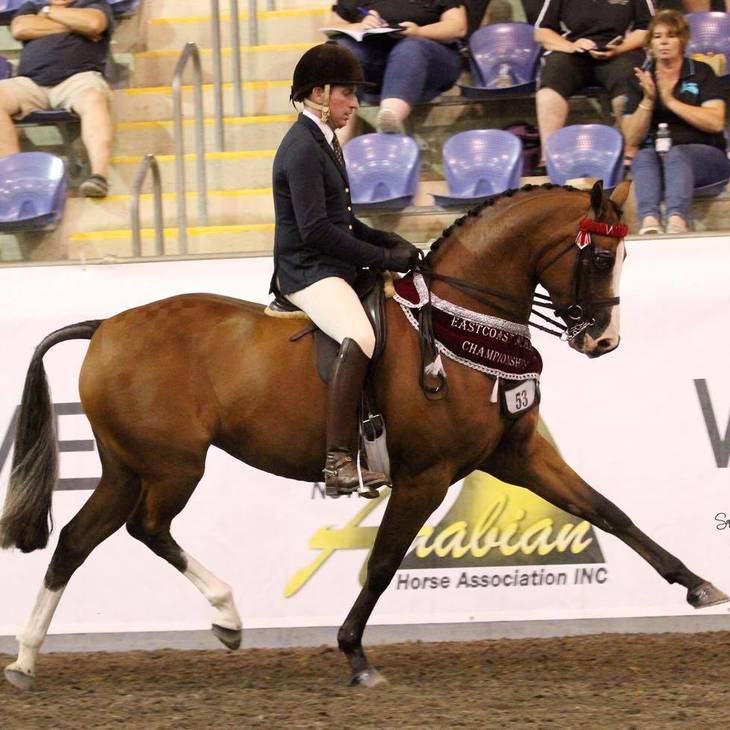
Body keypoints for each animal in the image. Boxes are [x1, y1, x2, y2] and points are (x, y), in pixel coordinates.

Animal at [1, 182, 726, 691]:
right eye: (601, 255)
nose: (603, 340)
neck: (463, 320)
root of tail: (105, 325)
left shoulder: (517, 454)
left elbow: (608, 510)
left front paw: (698, 586)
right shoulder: (426, 475)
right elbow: (381, 563)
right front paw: (355, 655)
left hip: (129, 467)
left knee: (76, 541)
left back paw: (27, 661)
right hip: (173, 467)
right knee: (147, 529)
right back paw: (227, 617)